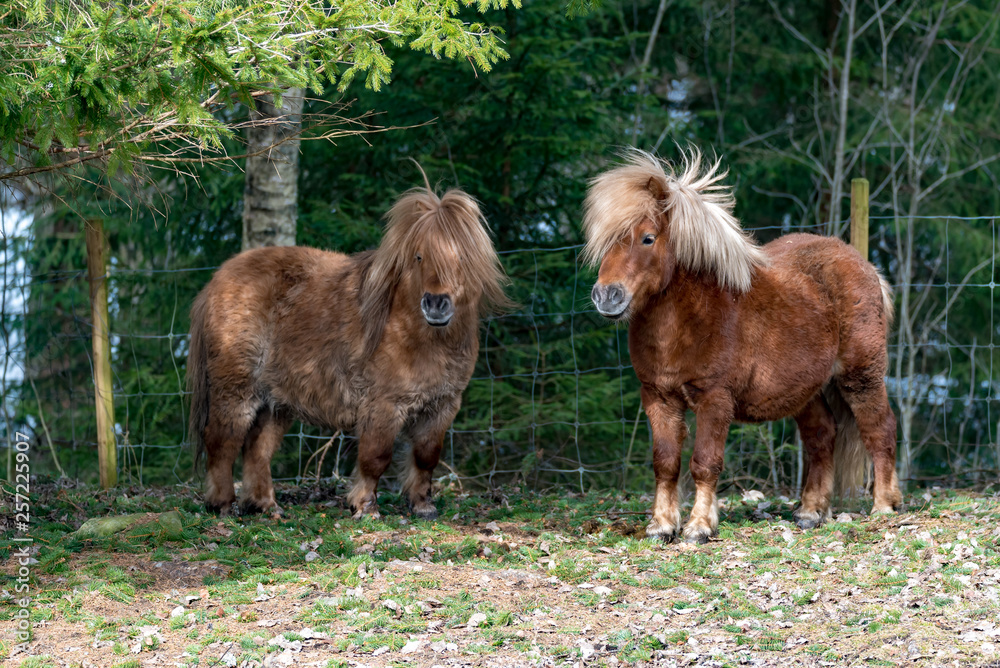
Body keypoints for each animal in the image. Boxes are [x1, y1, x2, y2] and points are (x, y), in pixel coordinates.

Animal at [187, 178, 509, 520]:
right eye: (418, 256)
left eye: (461, 257)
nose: (436, 303)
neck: (415, 334)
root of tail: (218, 279)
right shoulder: (383, 406)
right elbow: (376, 457)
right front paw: (365, 507)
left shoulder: (442, 406)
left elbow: (426, 457)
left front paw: (423, 506)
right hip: (236, 390)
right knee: (222, 441)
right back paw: (222, 504)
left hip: (275, 401)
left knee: (257, 448)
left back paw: (266, 506)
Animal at [583, 148, 901, 543]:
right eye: (604, 241)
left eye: (647, 238)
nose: (607, 296)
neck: (689, 319)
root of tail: (866, 267)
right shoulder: (658, 396)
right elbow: (666, 461)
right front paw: (662, 525)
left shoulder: (715, 399)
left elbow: (704, 463)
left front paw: (699, 527)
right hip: (806, 390)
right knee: (822, 436)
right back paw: (811, 512)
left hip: (861, 375)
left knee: (879, 428)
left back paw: (884, 505)